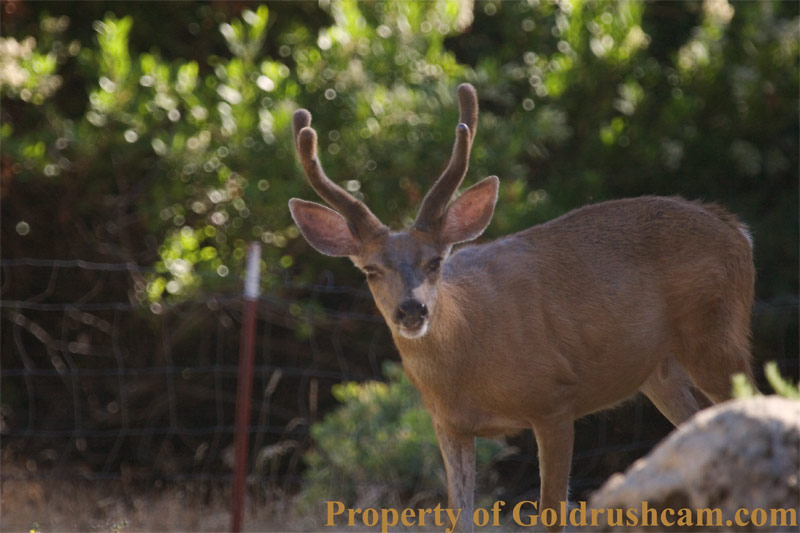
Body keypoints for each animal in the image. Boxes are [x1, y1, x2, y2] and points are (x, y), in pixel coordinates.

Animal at [287, 83, 756, 533]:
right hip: (661, 373)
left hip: (718, 337)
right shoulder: (448, 425)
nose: (412, 310)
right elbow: (459, 517)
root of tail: (738, 230)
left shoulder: (555, 398)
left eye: (436, 261)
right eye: (371, 270)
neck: (469, 362)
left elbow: (552, 512)